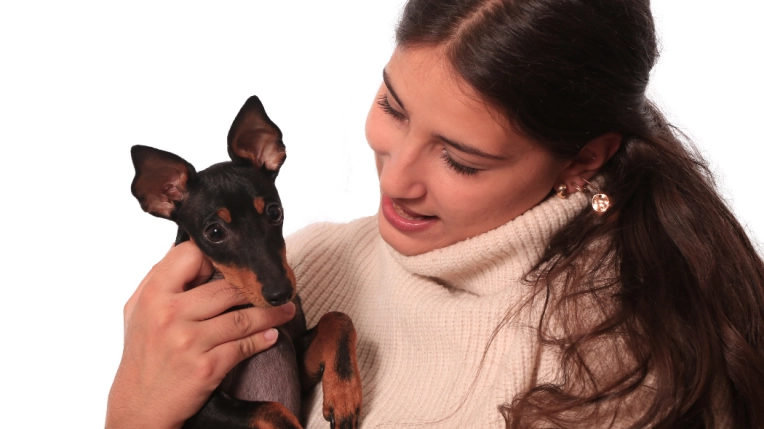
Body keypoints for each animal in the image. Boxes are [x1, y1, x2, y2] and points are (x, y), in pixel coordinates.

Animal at [131, 96, 364, 428]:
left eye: (274, 212)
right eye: (214, 233)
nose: (282, 294)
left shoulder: (295, 356)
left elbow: (337, 318)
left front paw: (344, 394)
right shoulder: (197, 403)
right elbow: (274, 411)